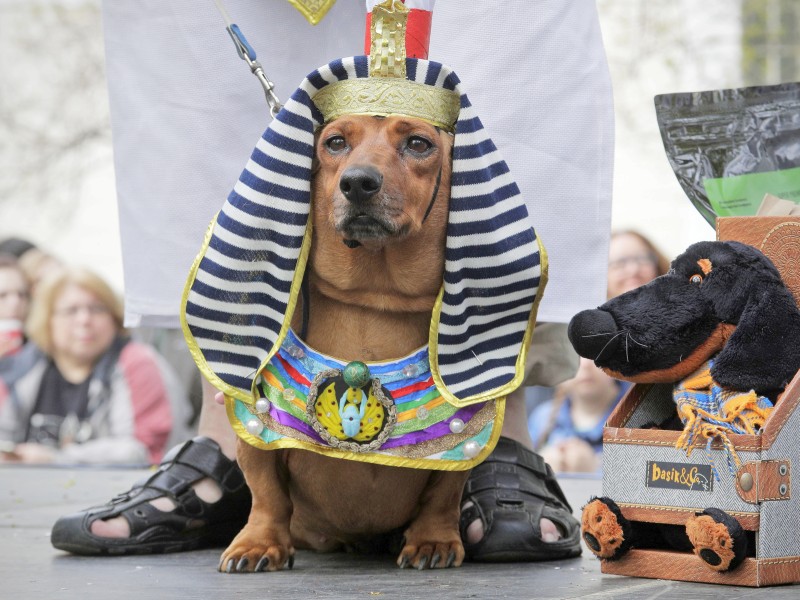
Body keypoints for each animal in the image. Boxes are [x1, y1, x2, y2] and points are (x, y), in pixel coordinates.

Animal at [217, 113, 468, 572]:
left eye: (418, 144)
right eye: (334, 142)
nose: (358, 183)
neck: (374, 296)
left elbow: (444, 493)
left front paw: (432, 539)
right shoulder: (255, 425)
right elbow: (267, 492)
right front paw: (259, 543)